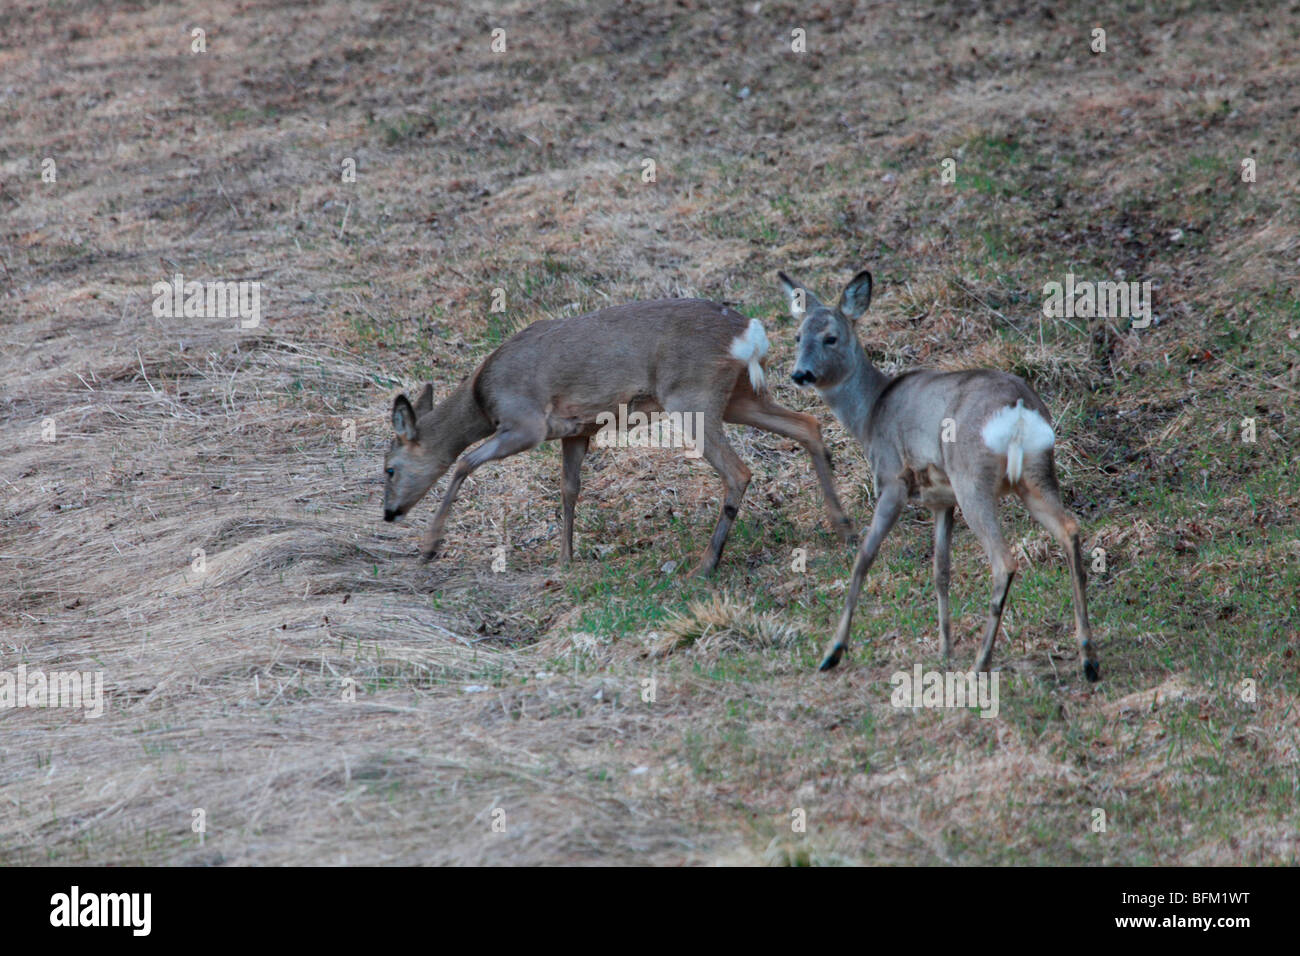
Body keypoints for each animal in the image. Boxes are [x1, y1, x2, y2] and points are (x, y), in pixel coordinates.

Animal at [379, 297, 857, 574]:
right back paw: (845, 528)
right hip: (739, 397)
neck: (481, 399)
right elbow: (569, 488)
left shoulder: (526, 423)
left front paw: (429, 547)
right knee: (807, 424)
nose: (389, 513)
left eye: (389, 469)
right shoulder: (576, 429)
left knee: (739, 471)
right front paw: (566, 558)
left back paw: (705, 565)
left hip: (692, 396)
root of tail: (749, 333)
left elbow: (462, 462)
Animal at [780, 269, 1097, 681]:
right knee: (1069, 530)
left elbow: (864, 557)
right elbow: (940, 570)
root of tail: (1018, 409)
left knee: (1004, 560)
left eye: (830, 337)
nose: (800, 373)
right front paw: (945, 650)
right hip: (1037, 472)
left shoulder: (893, 480)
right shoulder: (941, 500)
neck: (869, 414)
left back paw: (981, 662)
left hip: (972, 479)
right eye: (798, 336)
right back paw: (1088, 657)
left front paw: (833, 651)